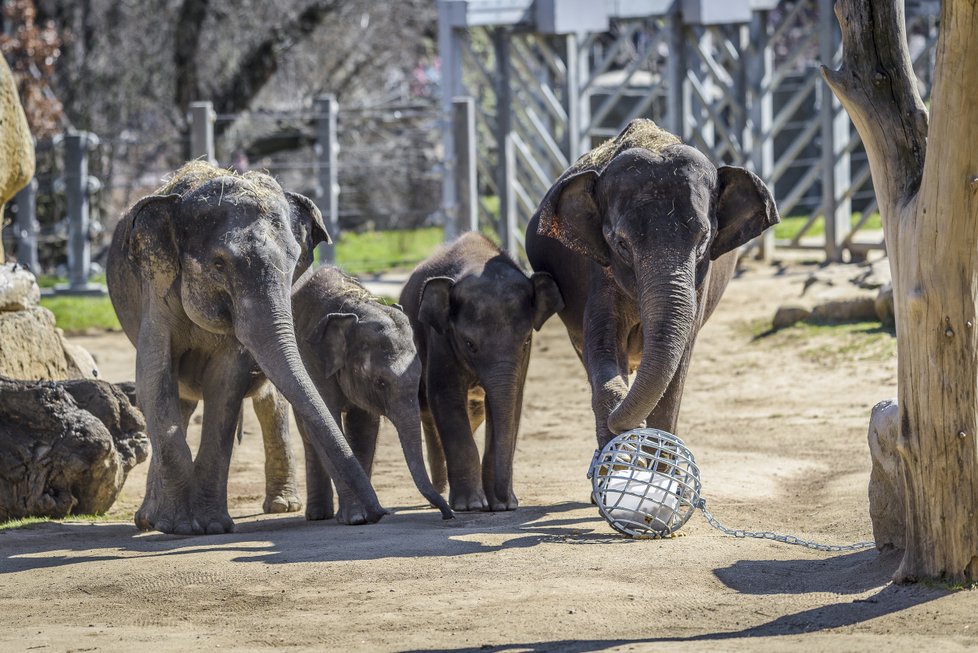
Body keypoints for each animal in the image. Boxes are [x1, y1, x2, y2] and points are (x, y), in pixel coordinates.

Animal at [105, 160, 384, 532]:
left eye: (293, 262)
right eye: (219, 263)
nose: (374, 515)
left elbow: (226, 386)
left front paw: (212, 527)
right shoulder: (155, 293)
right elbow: (153, 378)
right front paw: (179, 526)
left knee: (270, 402)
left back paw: (281, 505)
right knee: (179, 400)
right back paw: (149, 520)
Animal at [286, 264, 454, 520]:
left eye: (419, 378)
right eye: (380, 383)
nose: (447, 514)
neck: (352, 308)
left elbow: (364, 427)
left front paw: (363, 513)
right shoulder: (311, 360)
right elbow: (328, 421)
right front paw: (356, 518)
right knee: (309, 434)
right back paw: (318, 515)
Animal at [398, 232, 564, 512]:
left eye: (526, 341)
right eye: (469, 344)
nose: (505, 499)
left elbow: (512, 403)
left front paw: (501, 505)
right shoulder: (440, 336)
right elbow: (445, 397)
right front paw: (471, 505)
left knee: (475, 411)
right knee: (426, 408)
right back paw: (440, 490)